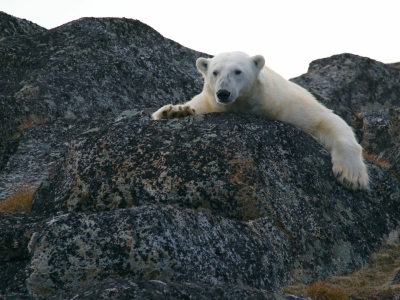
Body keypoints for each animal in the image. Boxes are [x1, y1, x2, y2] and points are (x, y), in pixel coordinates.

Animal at [152, 50, 368, 189]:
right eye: (215, 72)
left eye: (238, 71)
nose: (223, 93)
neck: (246, 104)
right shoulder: (209, 102)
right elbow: (192, 106)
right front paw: (174, 111)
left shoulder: (285, 104)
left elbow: (326, 120)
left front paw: (351, 176)